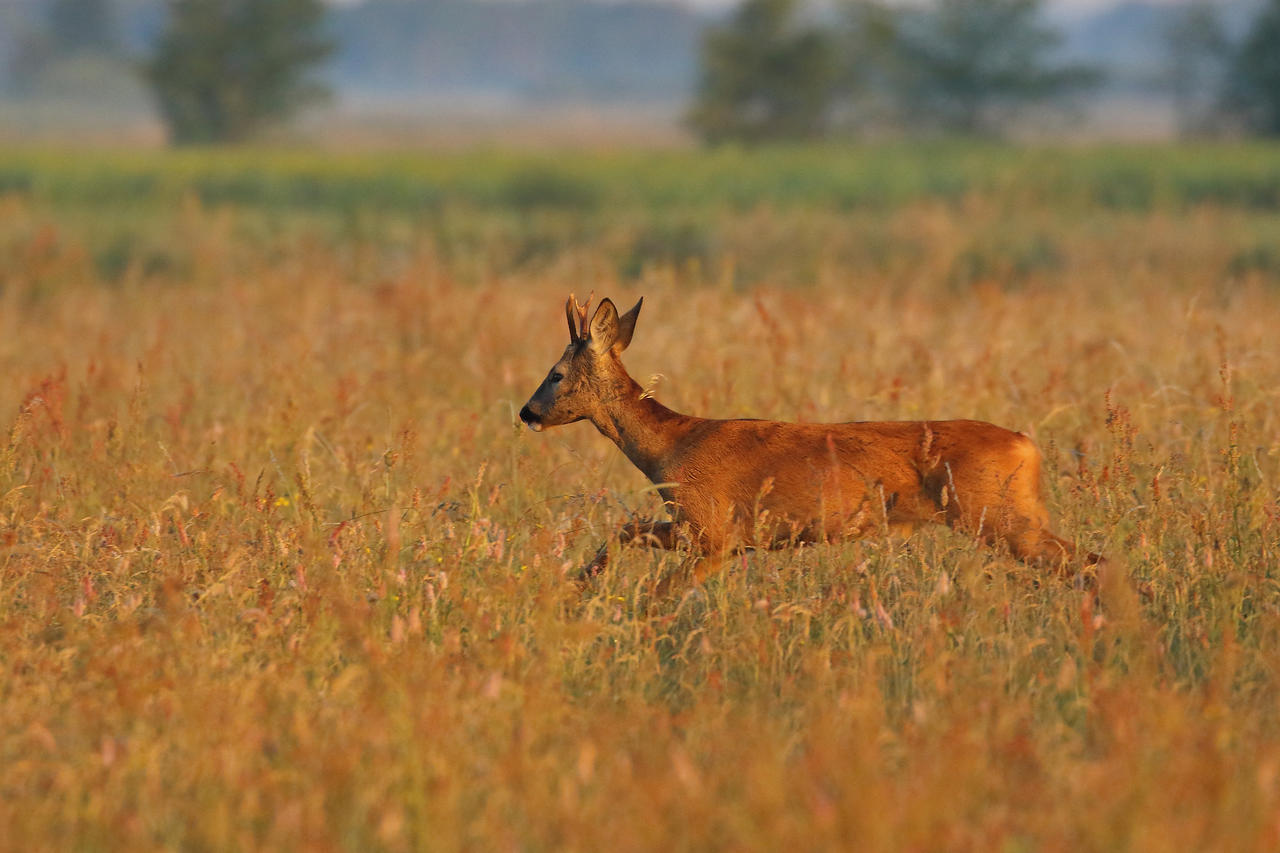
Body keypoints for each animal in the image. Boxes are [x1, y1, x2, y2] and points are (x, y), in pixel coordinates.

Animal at [514, 292, 1095, 584]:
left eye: (556, 374)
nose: (526, 412)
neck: (669, 448)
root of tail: (1027, 444)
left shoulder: (715, 531)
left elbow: (664, 587)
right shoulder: (699, 528)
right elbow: (625, 530)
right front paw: (582, 582)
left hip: (999, 516)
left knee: (1089, 563)